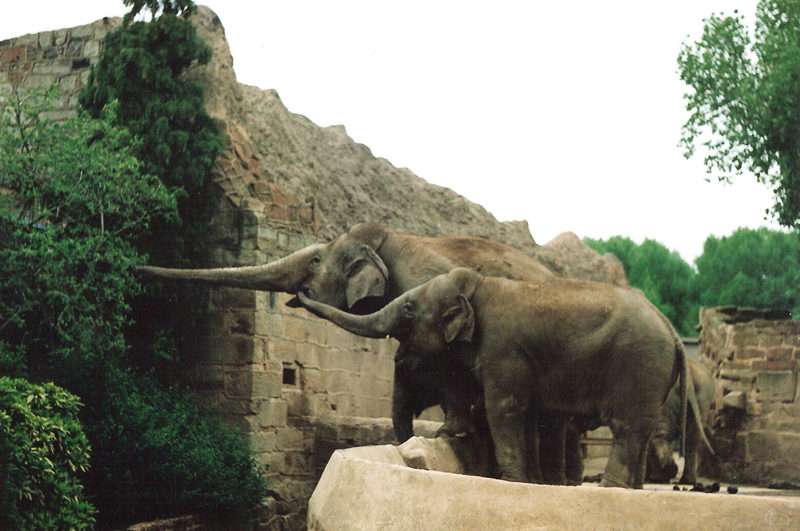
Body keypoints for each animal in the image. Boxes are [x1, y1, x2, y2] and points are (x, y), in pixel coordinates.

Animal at [296, 267, 690, 489]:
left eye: (409, 308)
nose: (299, 292)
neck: (480, 287)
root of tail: (672, 332)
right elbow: (528, 415)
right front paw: (529, 480)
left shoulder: (504, 347)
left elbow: (504, 408)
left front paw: (513, 481)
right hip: (653, 375)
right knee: (642, 431)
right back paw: (632, 490)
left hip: (638, 363)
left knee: (626, 426)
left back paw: (611, 490)